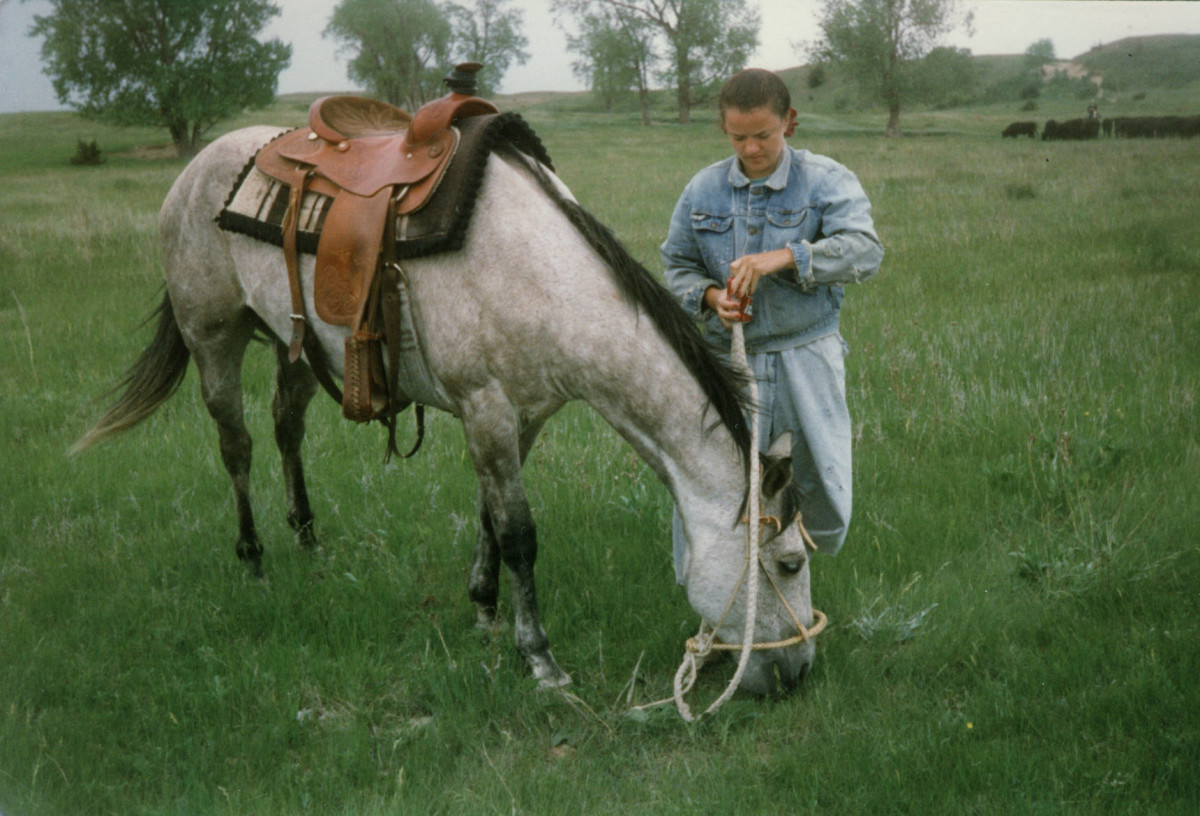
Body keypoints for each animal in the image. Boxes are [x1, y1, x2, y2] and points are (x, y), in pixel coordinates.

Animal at [72, 126, 816, 696]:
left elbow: (490, 516)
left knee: (287, 428)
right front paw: (539, 656)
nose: (799, 673)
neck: (540, 278)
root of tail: (197, 168)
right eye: (788, 564)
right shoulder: (486, 407)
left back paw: (308, 539)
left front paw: (484, 609)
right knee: (238, 446)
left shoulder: (523, 416)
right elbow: (519, 533)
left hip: (295, 346)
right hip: (213, 339)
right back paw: (254, 560)